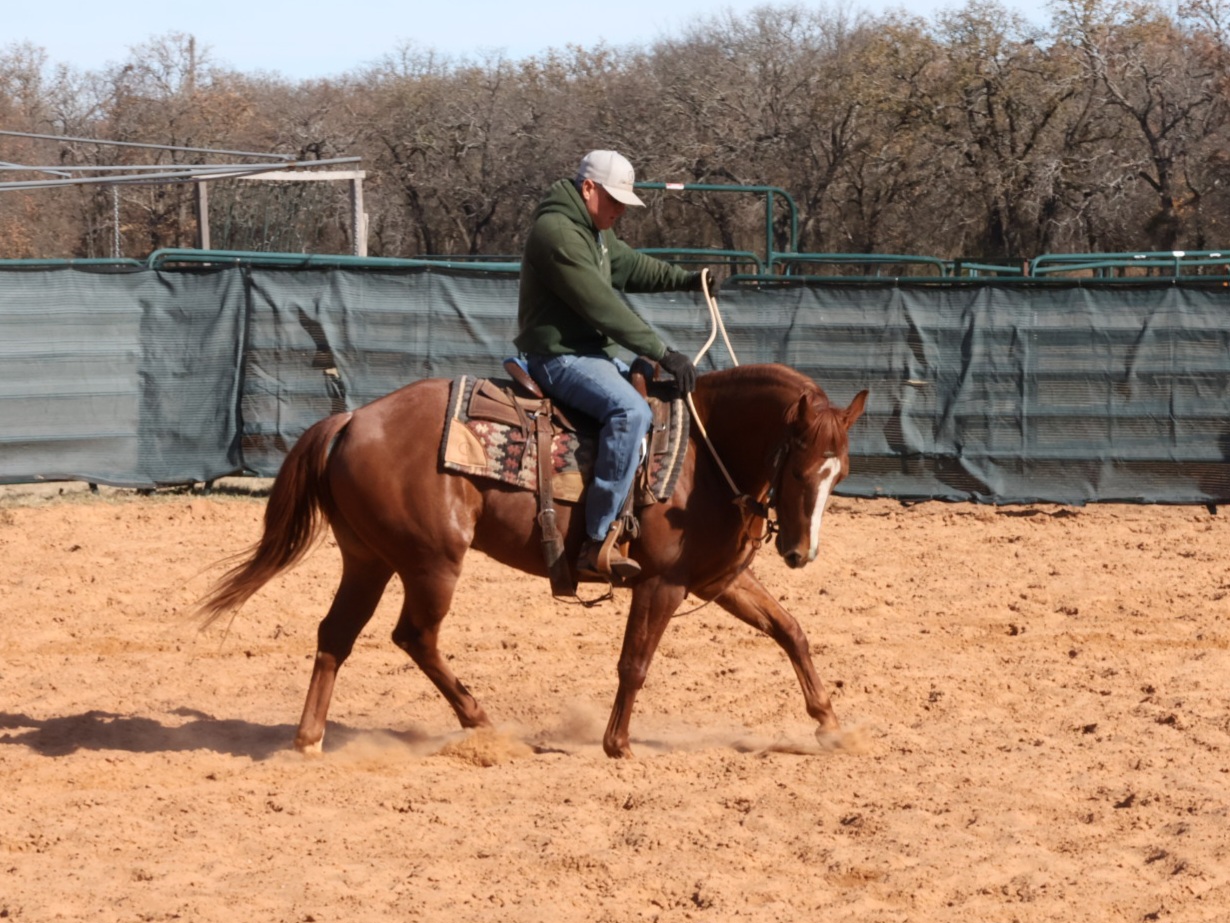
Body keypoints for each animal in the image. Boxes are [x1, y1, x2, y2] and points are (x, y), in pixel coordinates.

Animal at [195, 363, 868, 758]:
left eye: (840, 474)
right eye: (800, 469)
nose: (799, 552)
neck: (702, 455)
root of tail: (352, 419)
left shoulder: (718, 579)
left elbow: (790, 631)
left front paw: (831, 725)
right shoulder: (663, 584)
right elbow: (635, 663)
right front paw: (618, 745)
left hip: (368, 559)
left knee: (337, 634)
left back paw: (309, 739)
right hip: (432, 563)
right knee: (414, 636)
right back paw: (481, 722)